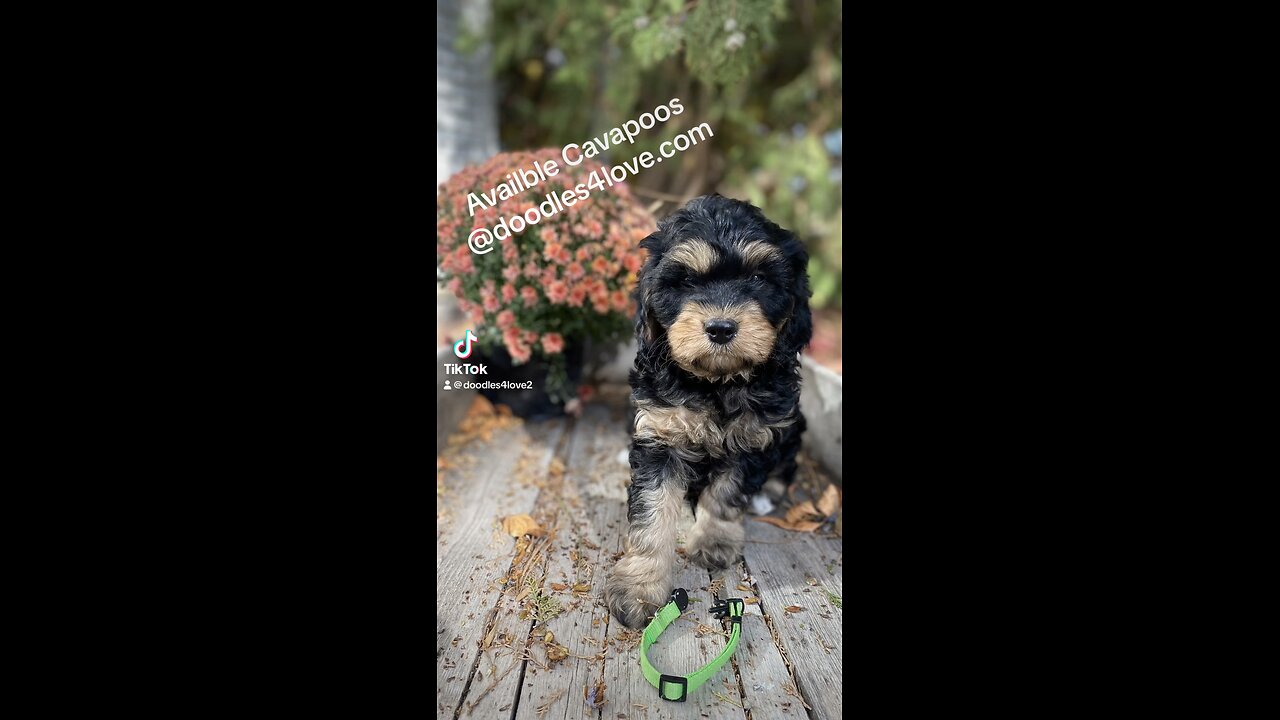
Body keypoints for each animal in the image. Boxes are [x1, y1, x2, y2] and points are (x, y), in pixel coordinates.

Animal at [601, 193, 808, 625]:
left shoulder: (754, 435)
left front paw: (714, 540)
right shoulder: (660, 434)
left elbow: (727, 492)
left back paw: (770, 492)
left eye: (759, 279)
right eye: (686, 282)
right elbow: (652, 511)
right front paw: (640, 586)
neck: (717, 384)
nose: (721, 328)